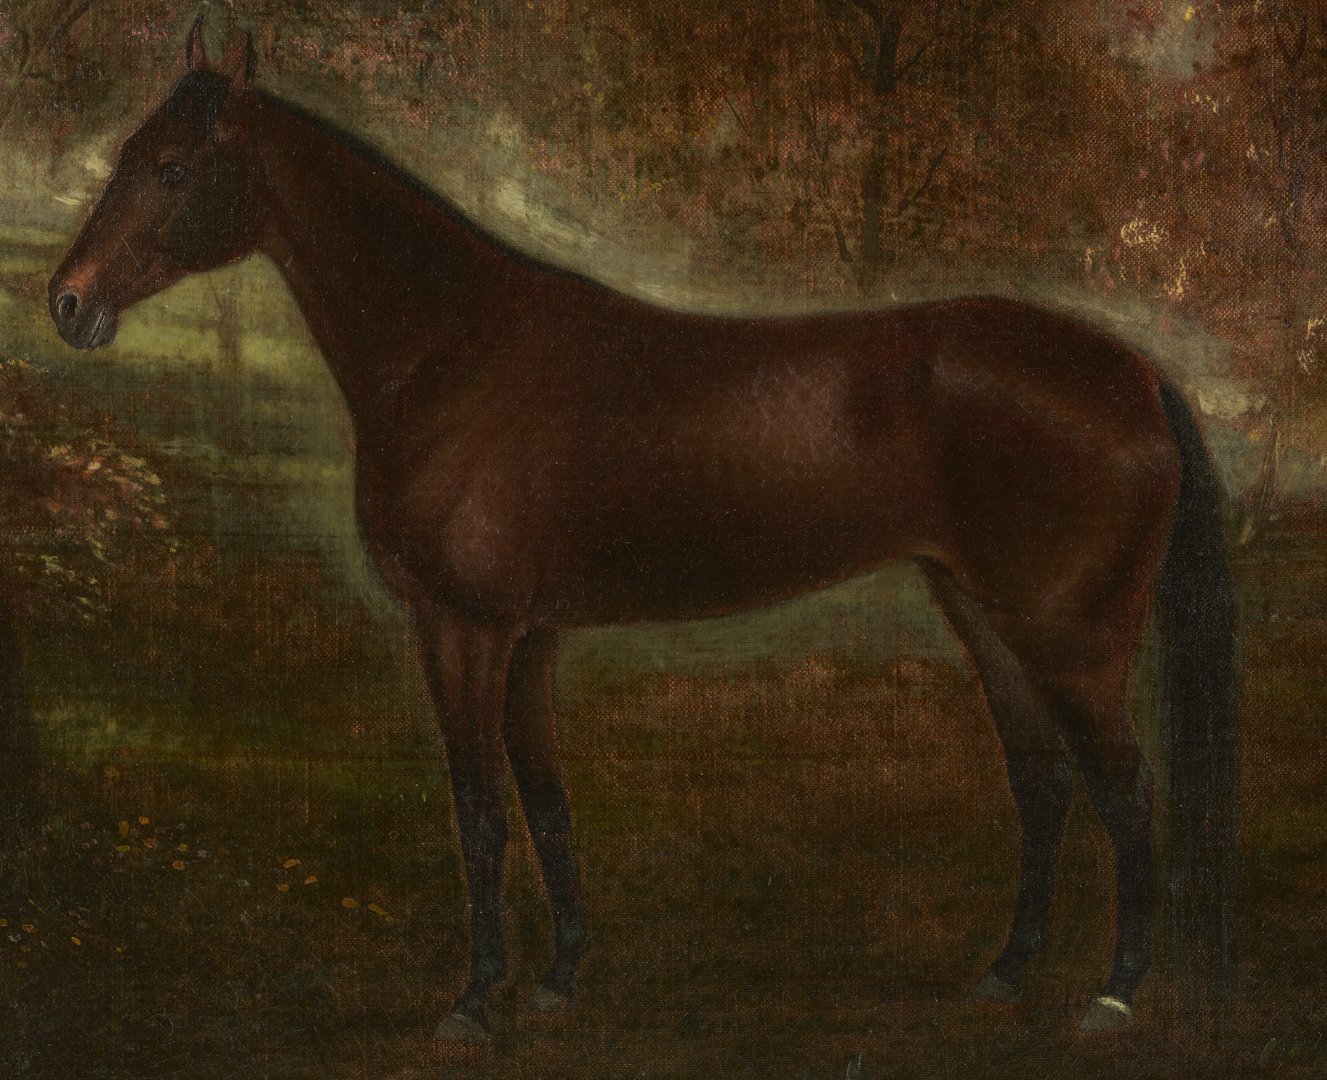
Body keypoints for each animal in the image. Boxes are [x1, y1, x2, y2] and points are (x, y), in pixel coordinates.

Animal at [48, 27, 1238, 1043]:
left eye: (172, 169)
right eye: (130, 153)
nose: (65, 303)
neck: (455, 354)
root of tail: (1132, 373)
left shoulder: (463, 629)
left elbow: (478, 814)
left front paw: (475, 1003)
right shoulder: (527, 638)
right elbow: (546, 804)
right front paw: (560, 980)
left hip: (1070, 638)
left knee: (1125, 794)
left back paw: (1111, 997)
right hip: (985, 617)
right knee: (1043, 789)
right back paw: (1003, 975)